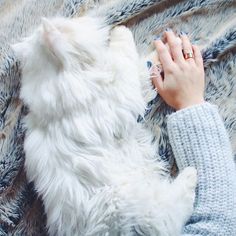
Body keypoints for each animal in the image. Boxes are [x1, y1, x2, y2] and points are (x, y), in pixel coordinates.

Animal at [12, 16, 197, 236]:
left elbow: (143, 66)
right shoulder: (122, 91)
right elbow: (127, 56)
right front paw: (123, 32)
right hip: (149, 206)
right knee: (174, 212)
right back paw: (191, 174)